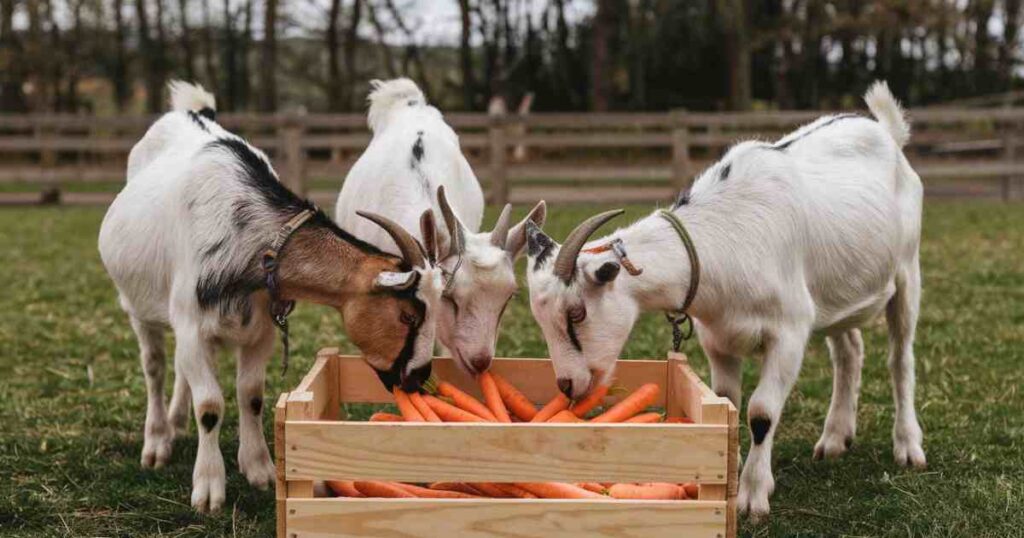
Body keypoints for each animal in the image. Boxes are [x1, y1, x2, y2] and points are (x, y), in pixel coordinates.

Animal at [96, 80, 444, 512]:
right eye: (408, 316)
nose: (419, 376)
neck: (252, 239)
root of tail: (191, 112)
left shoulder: (259, 329)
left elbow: (251, 396)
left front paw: (259, 469)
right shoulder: (194, 324)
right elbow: (210, 405)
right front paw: (208, 489)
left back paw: (176, 423)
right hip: (137, 308)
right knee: (155, 366)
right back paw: (157, 442)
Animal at [524, 81, 925, 518]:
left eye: (576, 313)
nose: (568, 385)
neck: (721, 245)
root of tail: (887, 131)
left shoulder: (789, 331)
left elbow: (761, 413)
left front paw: (753, 496)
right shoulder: (717, 339)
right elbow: (728, 404)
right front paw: (728, 482)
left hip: (907, 272)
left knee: (900, 358)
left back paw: (908, 446)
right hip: (836, 293)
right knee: (849, 349)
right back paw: (835, 439)